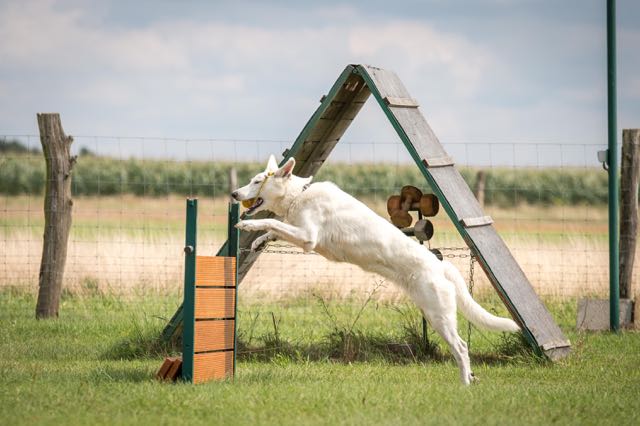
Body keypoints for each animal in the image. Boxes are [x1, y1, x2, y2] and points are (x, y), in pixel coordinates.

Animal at [235, 155, 520, 384]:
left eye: (257, 181)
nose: (235, 194)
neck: (299, 194)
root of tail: (440, 265)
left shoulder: (308, 237)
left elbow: (272, 221)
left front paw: (249, 227)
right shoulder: (302, 235)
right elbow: (275, 228)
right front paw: (259, 241)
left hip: (440, 316)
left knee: (461, 348)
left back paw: (465, 383)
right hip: (433, 313)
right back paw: (471, 378)